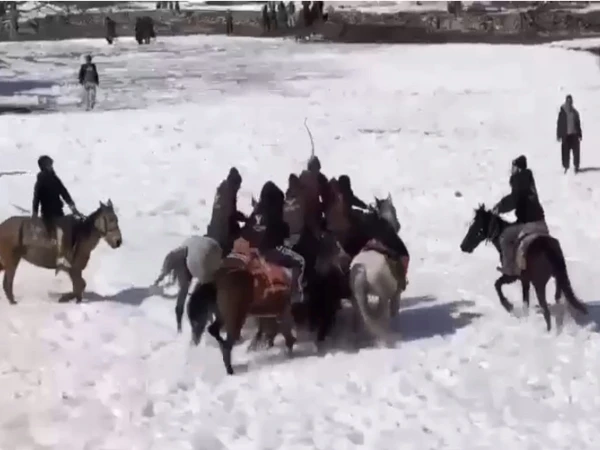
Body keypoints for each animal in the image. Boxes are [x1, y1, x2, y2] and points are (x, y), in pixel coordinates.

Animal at [349, 194, 408, 340]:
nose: (399, 224)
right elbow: (394, 310)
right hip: (383, 297)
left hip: (356, 298)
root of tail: (362, 270)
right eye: (394, 209)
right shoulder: (396, 293)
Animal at [460, 204, 588, 331]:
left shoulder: (513, 277)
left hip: (539, 285)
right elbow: (525, 302)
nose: (463, 246)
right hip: (557, 280)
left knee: (546, 311)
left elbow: (497, 284)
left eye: (476, 227)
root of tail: (548, 248)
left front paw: (508, 306)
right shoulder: (525, 281)